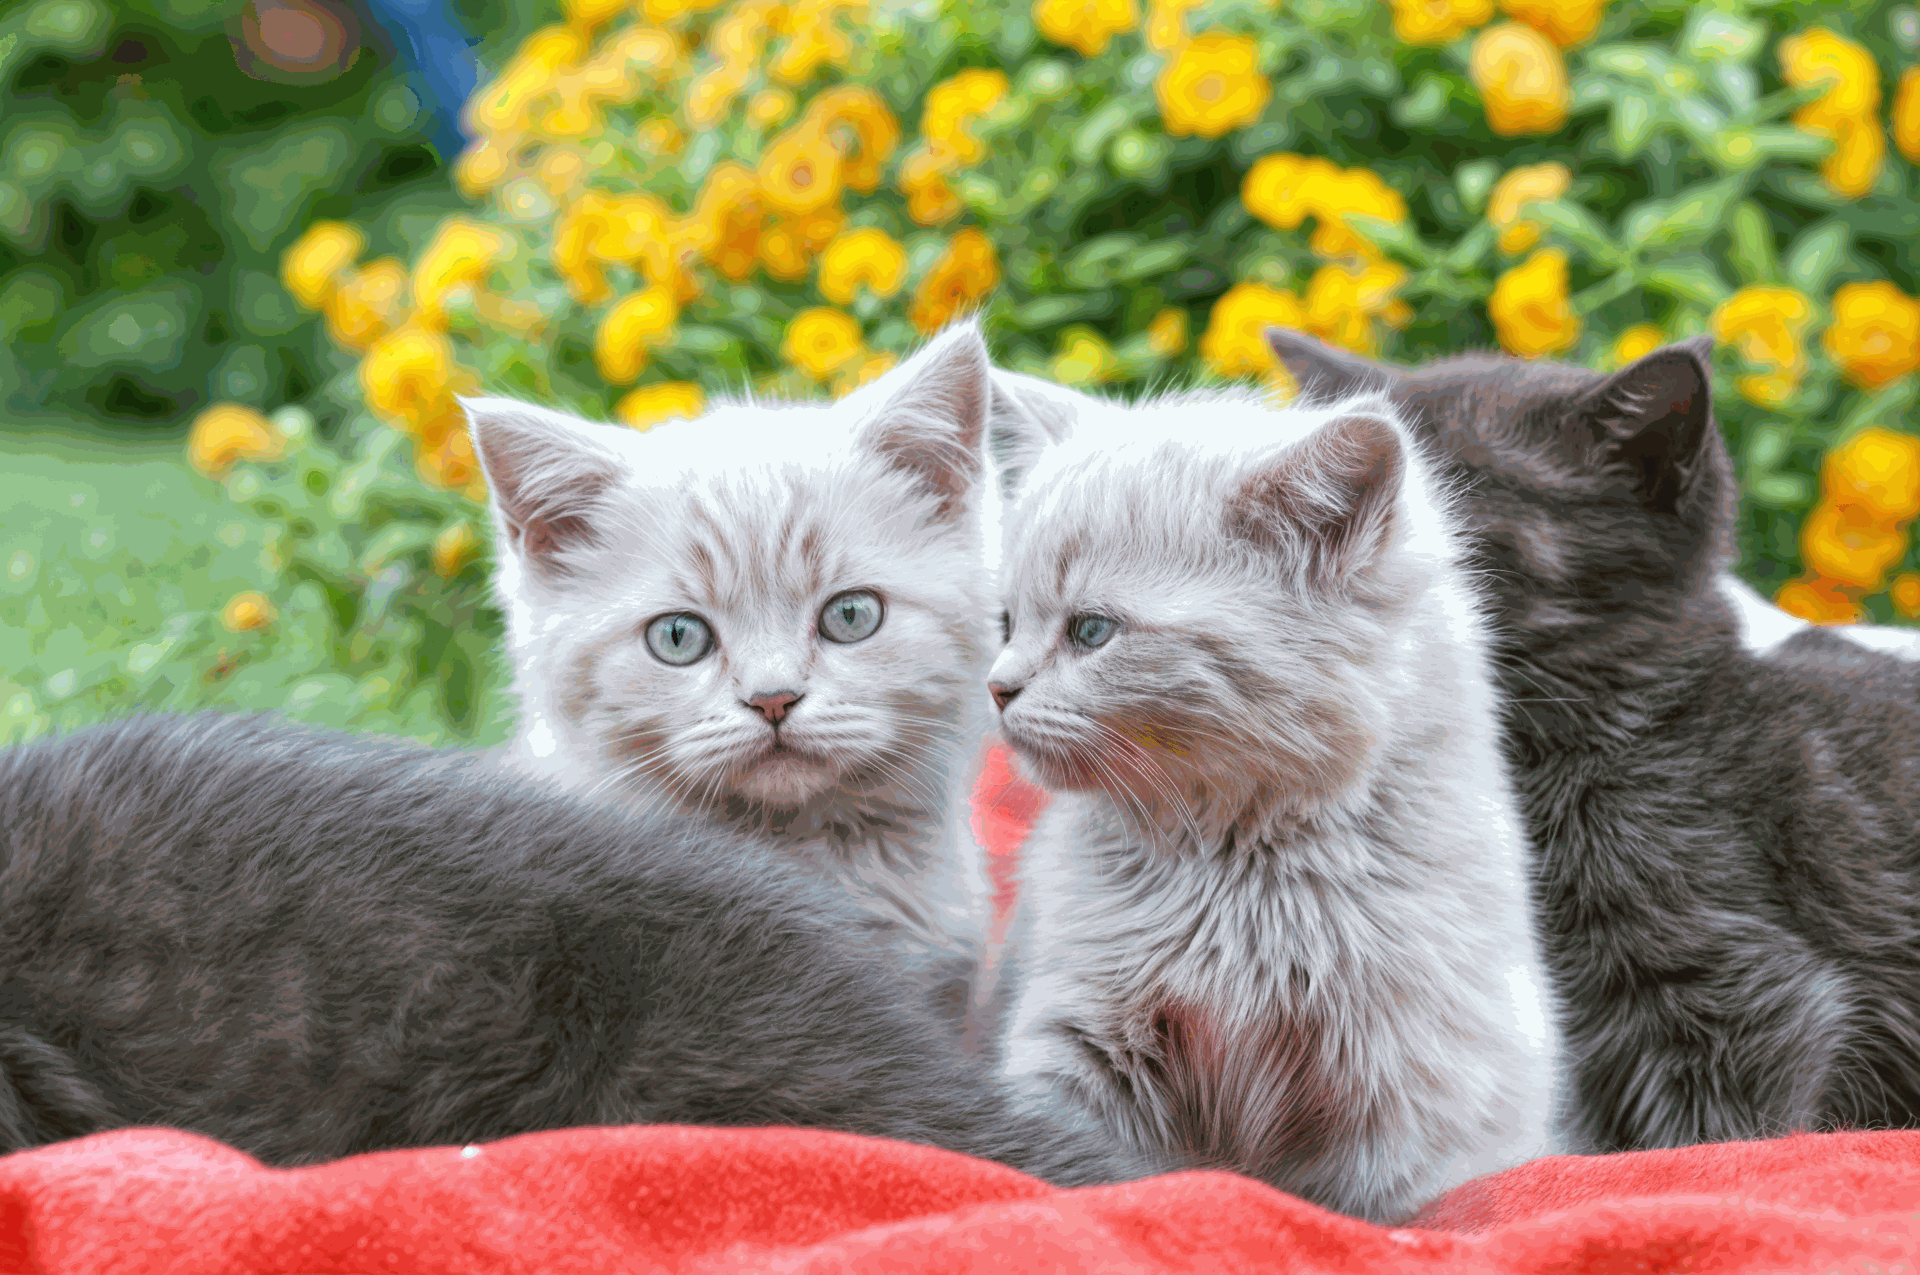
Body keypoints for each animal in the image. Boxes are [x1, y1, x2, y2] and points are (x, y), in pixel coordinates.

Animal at [975, 376, 1559, 1228]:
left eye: (1091, 630)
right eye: (1006, 622)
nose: (998, 687)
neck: (1233, 868)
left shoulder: (1418, 1079)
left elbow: (1403, 1210)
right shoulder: (1074, 1038)